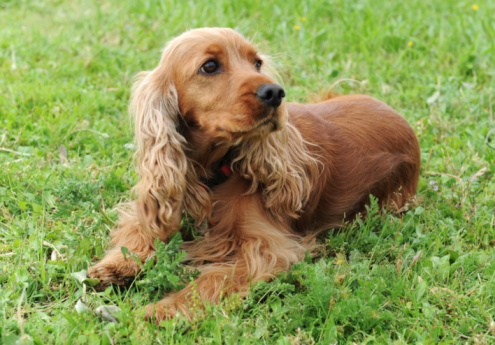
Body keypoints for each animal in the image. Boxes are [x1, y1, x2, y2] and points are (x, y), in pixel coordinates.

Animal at [87, 27, 420, 322]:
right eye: (210, 66)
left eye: (256, 63)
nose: (275, 92)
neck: (211, 173)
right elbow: (140, 229)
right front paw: (115, 265)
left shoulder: (266, 248)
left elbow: (213, 279)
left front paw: (164, 310)